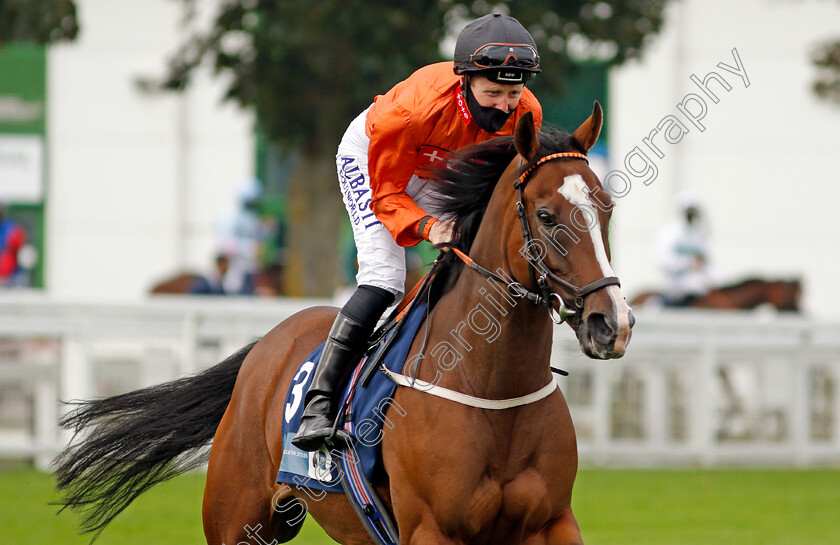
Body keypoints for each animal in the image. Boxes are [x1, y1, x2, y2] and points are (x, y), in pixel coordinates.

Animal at [55, 105, 632, 544]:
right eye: (547, 215)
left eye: (605, 208)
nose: (613, 324)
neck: (492, 389)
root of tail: (268, 343)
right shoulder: (432, 529)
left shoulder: (552, 523)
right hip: (235, 518)